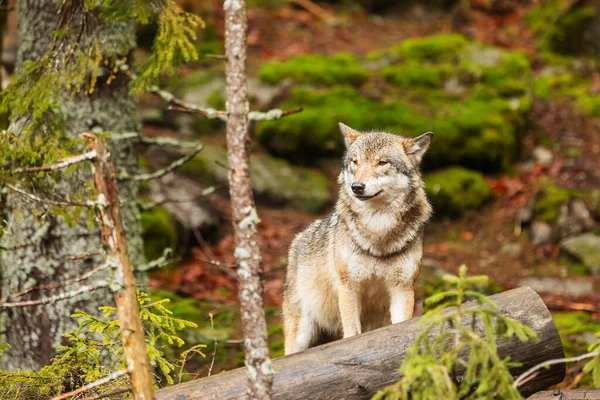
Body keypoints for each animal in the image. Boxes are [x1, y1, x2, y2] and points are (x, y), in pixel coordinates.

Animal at [282, 122, 432, 354]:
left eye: (382, 162)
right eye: (355, 162)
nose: (357, 187)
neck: (378, 229)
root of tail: (297, 240)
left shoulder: (403, 288)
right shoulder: (349, 287)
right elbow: (352, 334)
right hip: (300, 333)